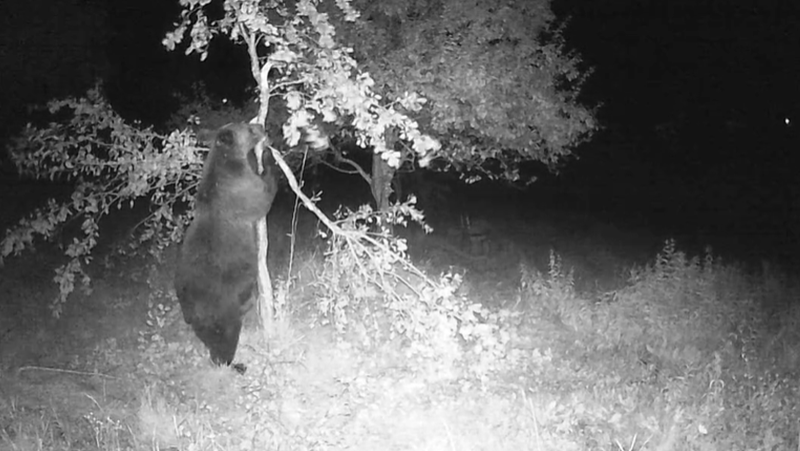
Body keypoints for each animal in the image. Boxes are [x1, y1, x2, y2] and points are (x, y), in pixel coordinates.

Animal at [174, 122, 278, 372]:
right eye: (249, 128)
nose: (261, 126)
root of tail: (188, 310)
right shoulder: (240, 190)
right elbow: (264, 194)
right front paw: (267, 156)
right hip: (220, 308)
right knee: (225, 340)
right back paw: (235, 363)